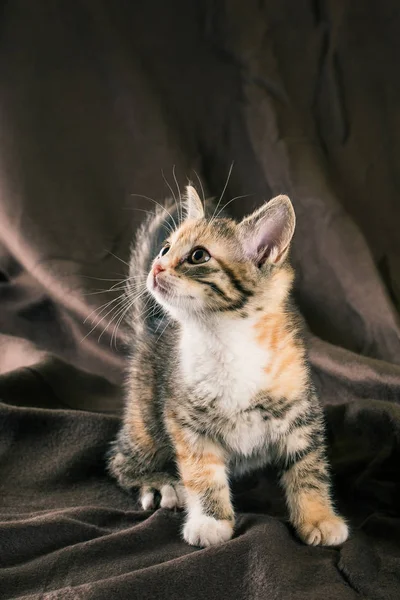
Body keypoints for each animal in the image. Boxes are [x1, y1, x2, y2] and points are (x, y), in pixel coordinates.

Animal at [108, 188, 348, 548]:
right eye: (166, 248)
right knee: (121, 460)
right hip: (146, 417)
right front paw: (211, 521)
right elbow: (202, 472)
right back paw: (157, 483)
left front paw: (318, 517)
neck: (224, 338)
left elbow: (309, 467)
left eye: (198, 256)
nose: (157, 266)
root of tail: (153, 329)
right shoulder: (186, 420)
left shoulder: (301, 412)